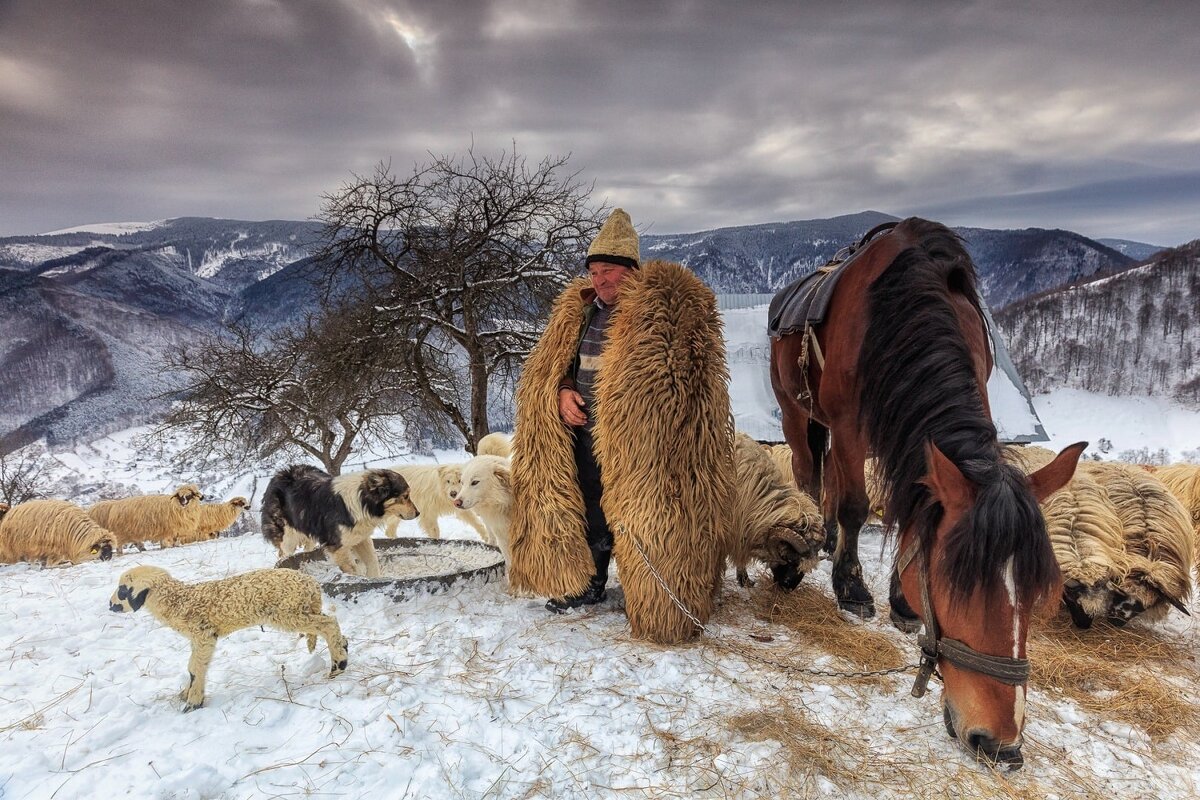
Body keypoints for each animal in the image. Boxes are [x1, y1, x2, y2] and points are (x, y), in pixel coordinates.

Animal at [108, 563, 348, 714]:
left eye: (122, 590)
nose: (110, 605)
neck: (178, 601)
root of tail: (312, 583)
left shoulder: (204, 634)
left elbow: (195, 668)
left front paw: (193, 702)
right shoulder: (198, 637)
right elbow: (192, 667)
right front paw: (186, 694)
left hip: (288, 612)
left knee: (329, 623)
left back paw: (338, 665)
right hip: (301, 609)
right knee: (329, 625)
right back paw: (343, 649)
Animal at [260, 465, 420, 578]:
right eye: (406, 496)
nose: (418, 513)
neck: (362, 502)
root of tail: (278, 475)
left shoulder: (361, 537)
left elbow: (372, 561)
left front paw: (375, 579)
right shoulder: (338, 547)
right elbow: (353, 569)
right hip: (288, 537)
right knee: (284, 554)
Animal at [768, 215, 1089, 767]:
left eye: (1034, 593)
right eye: (959, 587)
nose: (1001, 744)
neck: (897, 312)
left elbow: (909, 513)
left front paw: (901, 602)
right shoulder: (850, 427)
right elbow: (856, 506)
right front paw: (852, 589)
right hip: (798, 413)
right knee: (811, 474)